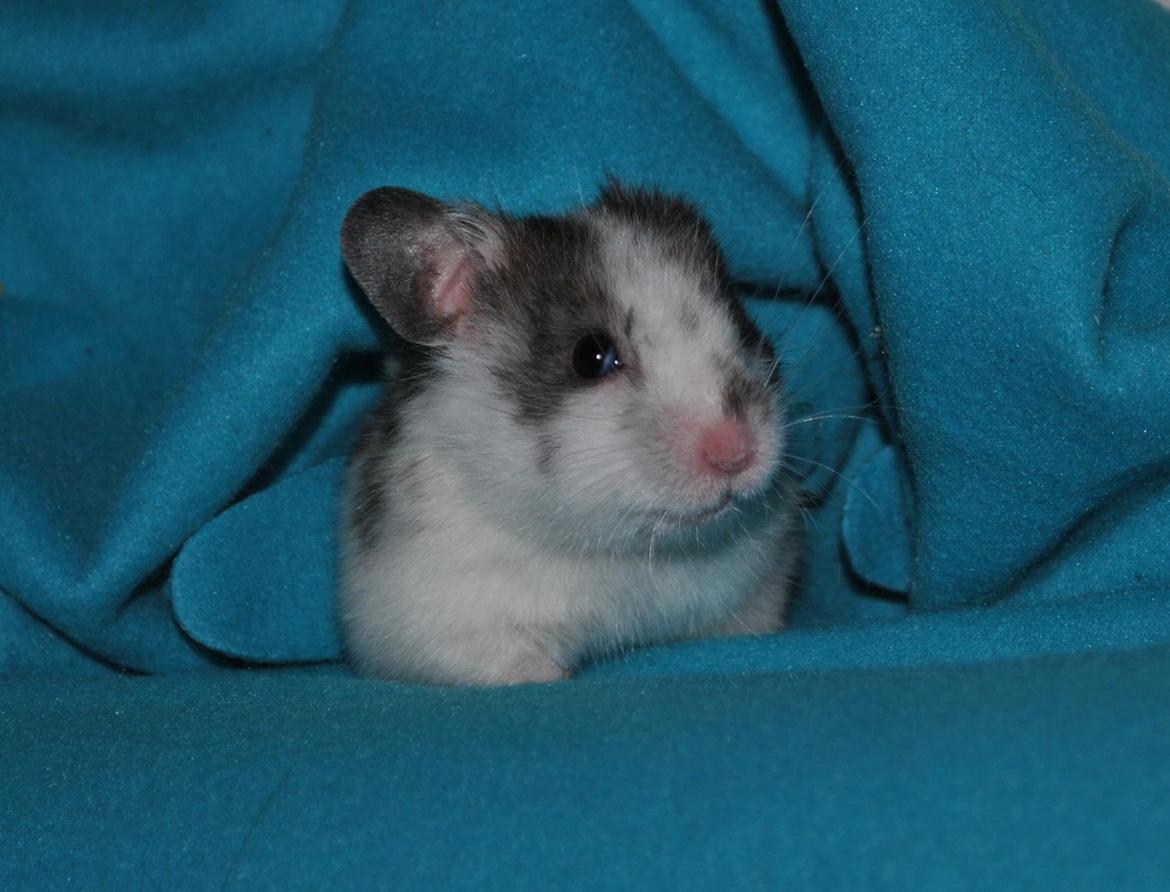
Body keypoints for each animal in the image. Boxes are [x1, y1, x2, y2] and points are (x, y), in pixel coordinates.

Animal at [338, 180, 799, 685]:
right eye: (590, 356)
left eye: (742, 323)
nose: (737, 453)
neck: (627, 551)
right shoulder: (437, 624)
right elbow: (514, 662)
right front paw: (552, 678)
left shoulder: (760, 587)